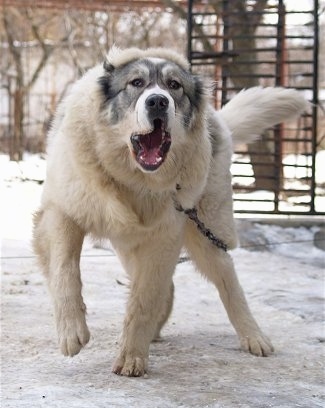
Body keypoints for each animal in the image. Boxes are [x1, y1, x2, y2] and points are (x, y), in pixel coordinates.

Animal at [32, 46, 306, 378]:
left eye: (174, 86)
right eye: (136, 83)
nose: (158, 101)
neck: (131, 180)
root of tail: (218, 121)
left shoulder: (163, 238)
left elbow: (144, 300)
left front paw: (132, 357)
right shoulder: (62, 213)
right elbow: (65, 270)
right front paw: (71, 331)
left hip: (207, 234)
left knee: (228, 283)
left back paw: (254, 336)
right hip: (128, 242)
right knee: (166, 285)